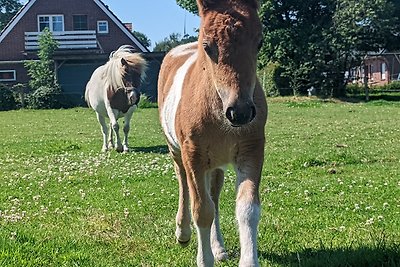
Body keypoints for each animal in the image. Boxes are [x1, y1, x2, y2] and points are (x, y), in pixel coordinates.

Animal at [158, 1, 268, 266]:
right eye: (207, 46)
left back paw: (218, 247)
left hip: (216, 162)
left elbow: (247, 209)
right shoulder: (193, 155)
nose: (240, 112)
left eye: (259, 42)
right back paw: (183, 233)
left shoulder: (252, 150)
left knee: (214, 197)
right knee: (185, 185)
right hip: (178, 152)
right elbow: (201, 210)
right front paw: (204, 258)